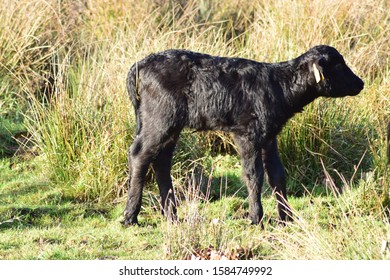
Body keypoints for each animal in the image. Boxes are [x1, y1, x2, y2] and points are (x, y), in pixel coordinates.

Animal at [123, 45, 364, 225]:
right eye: (338, 64)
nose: (360, 83)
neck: (279, 85)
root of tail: (141, 64)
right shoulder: (247, 135)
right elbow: (254, 175)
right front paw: (256, 218)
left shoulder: (269, 136)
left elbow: (277, 174)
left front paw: (286, 218)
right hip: (159, 119)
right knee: (140, 154)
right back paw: (130, 217)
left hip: (171, 125)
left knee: (161, 161)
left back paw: (171, 216)